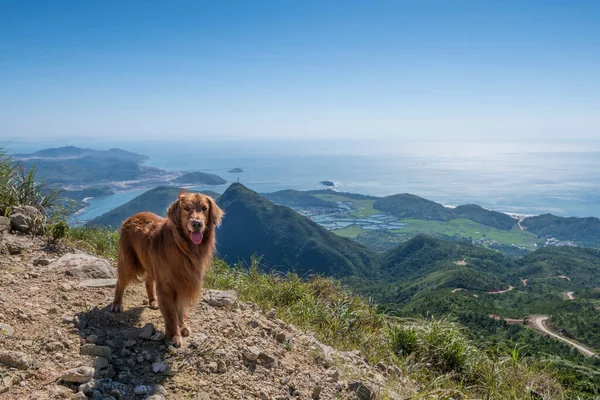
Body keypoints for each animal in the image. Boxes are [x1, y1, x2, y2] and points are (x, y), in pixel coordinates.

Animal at [110, 191, 223, 346]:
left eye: (204, 208)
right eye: (186, 208)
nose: (197, 224)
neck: (184, 248)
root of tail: (131, 216)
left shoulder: (184, 281)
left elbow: (180, 309)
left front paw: (183, 326)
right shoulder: (167, 285)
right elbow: (171, 315)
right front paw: (174, 336)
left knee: (148, 281)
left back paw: (153, 301)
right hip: (129, 263)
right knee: (120, 282)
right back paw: (117, 304)